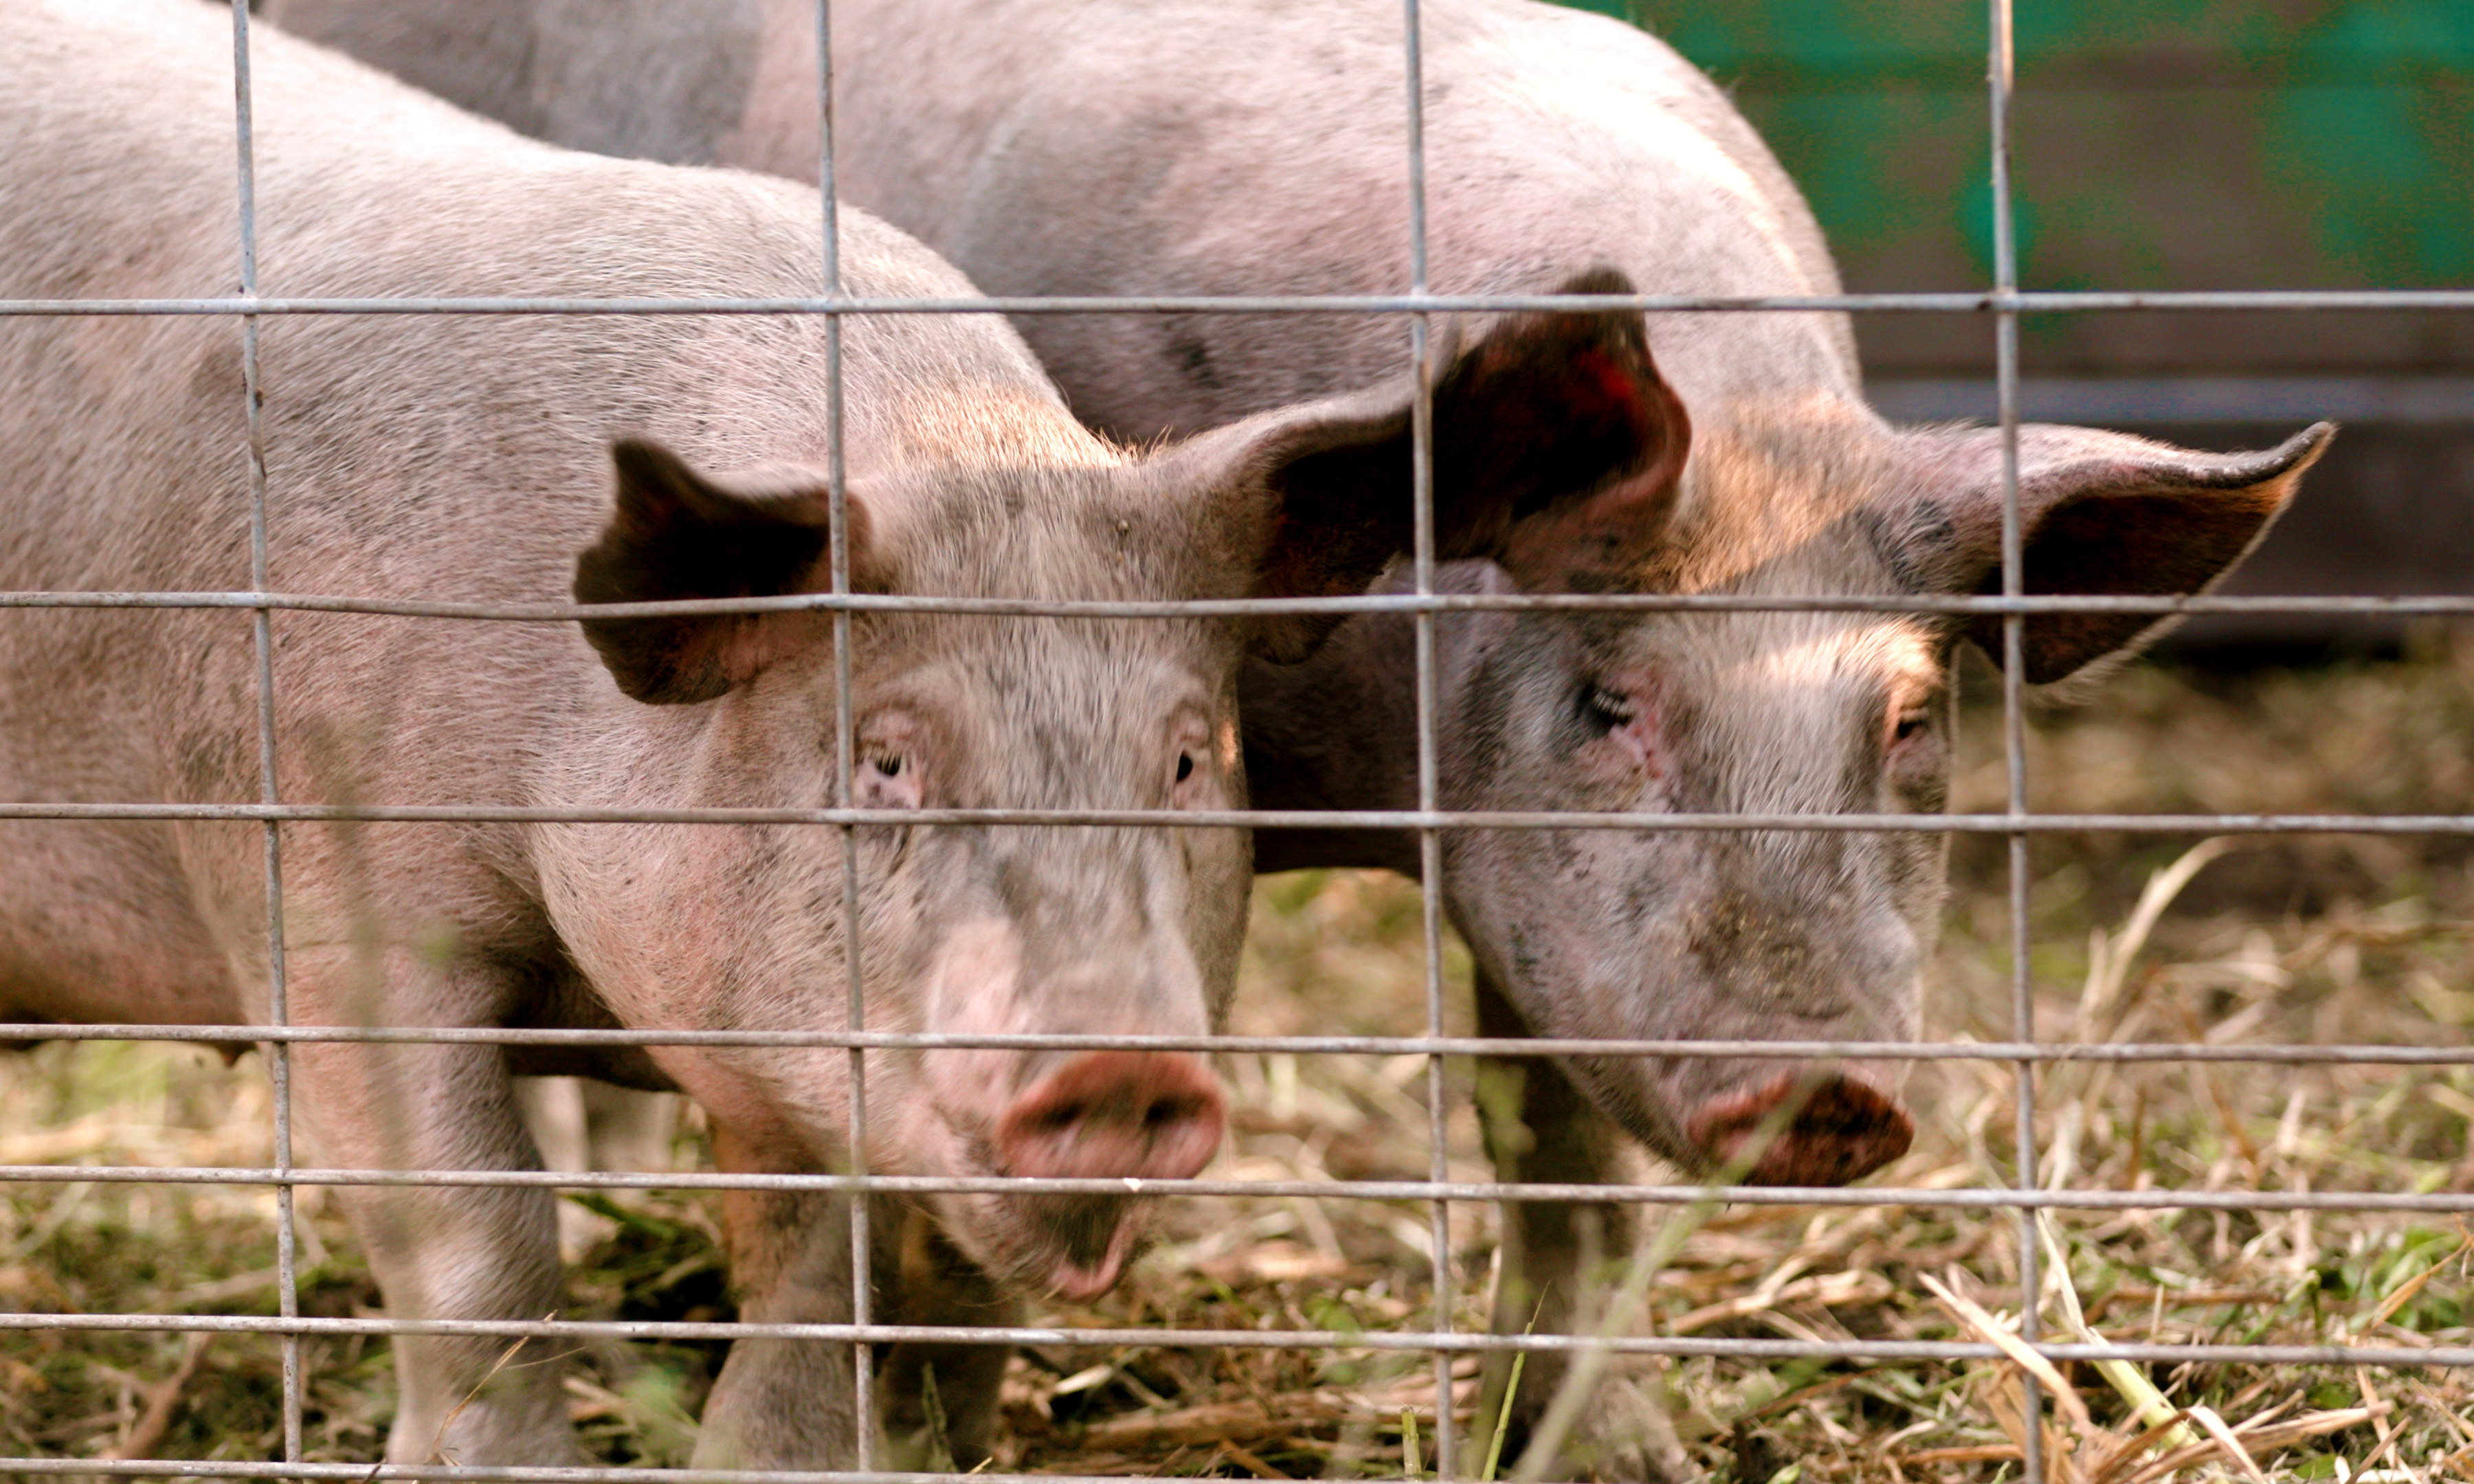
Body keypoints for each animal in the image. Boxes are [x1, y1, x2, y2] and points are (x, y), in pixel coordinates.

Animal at [0, 0, 1721, 1464]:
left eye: (1183, 757)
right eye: (883, 760)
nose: (1119, 1063)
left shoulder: (796, 1050)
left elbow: (828, 1276)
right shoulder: (323, 891)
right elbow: (480, 1239)